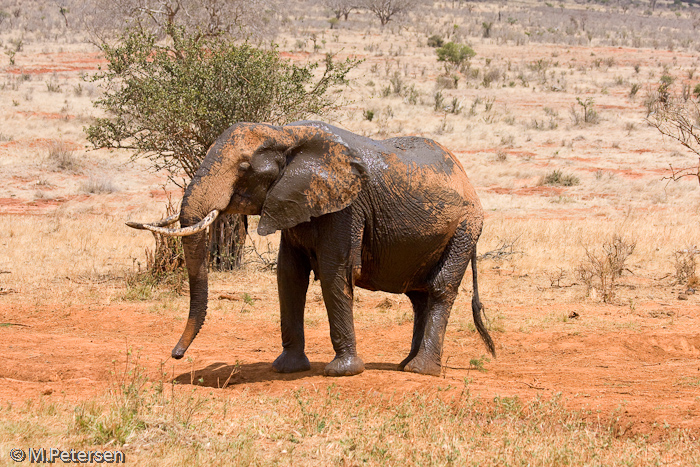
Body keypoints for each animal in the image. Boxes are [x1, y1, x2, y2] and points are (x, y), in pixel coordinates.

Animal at [127, 119, 498, 376]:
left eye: (244, 168)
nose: (176, 354)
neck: (285, 133)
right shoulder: (291, 202)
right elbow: (289, 276)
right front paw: (286, 368)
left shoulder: (346, 208)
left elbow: (335, 274)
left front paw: (342, 372)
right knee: (418, 296)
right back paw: (405, 364)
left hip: (465, 228)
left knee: (439, 290)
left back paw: (421, 370)